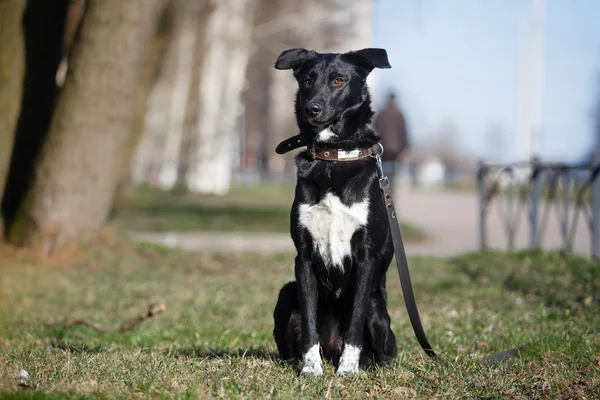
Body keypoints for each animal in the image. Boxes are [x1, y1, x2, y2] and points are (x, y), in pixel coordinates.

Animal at [274, 48, 398, 376]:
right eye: (307, 80)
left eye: (339, 80)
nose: (311, 109)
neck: (334, 156)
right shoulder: (303, 258)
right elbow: (309, 324)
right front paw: (310, 369)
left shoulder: (366, 258)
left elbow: (354, 321)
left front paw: (347, 369)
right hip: (285, 293)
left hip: (377, 309)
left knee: (385, 351)